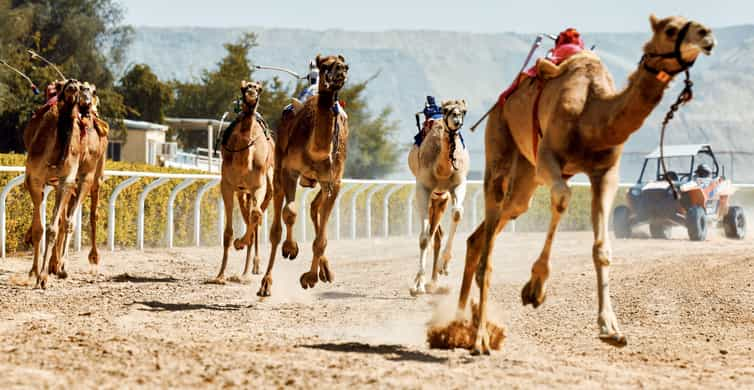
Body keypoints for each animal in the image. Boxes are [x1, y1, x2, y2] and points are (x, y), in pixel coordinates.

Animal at [213, 80, 274, 284]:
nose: (251, 92)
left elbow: (255, 216)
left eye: (259, 88)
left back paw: (249, 270)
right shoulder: (227, 185)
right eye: (243, 87)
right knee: (250, 218)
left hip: (265, 188)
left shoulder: (258, 185)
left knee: (255, 218)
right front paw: (220, 275)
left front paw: (240, 243)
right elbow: (228, 232)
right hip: (242, 192)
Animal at [258, 54, 350, 298]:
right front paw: (291, 248)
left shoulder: (333, 181)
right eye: (325, 65)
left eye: (345, 66)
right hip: (278, 168)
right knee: (276, 227)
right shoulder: (290, 171)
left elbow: (321, 239)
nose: (340, 71)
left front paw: (309, 278)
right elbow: (289, 212)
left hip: (320, 183)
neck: (316, 150)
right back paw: (266, 283)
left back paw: (324, 271)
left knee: (315, 208)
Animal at [432, 14, 712, 354]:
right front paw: (535, 287)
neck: (591, 115)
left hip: (525, 178)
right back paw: (479, 337)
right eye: (671, 29)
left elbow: (602, 247)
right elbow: (563, 198)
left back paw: (457, 325)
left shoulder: (605, 172)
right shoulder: (548, 159)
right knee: (490, 239)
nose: (706, 35)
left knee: (485, 233)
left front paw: (611, 329)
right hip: (500, 144)